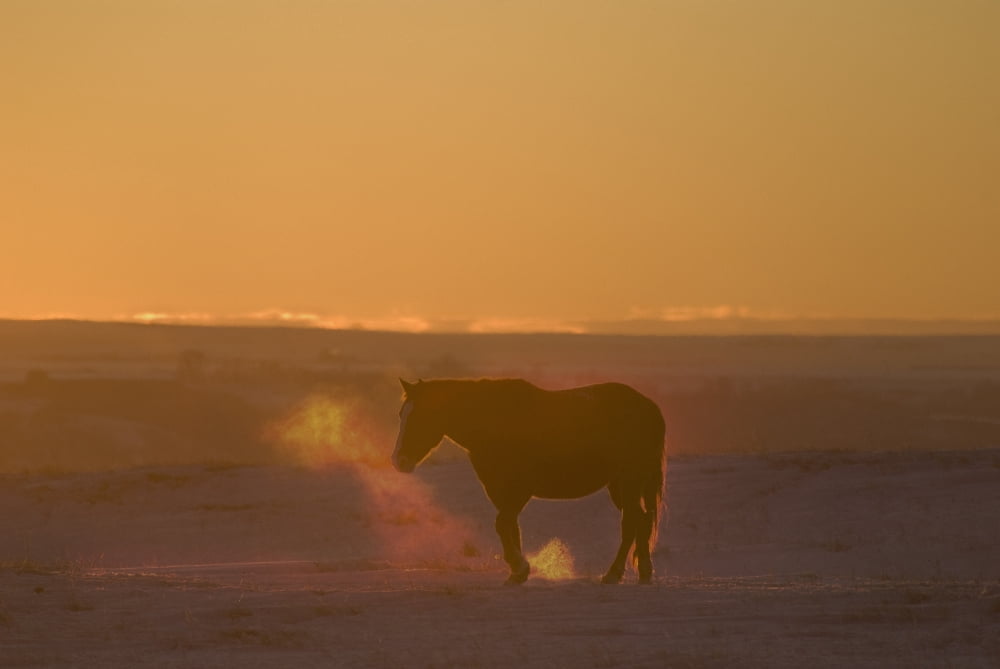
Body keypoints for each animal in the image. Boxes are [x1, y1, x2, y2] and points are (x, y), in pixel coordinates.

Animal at [392, 378, 666, 584]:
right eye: (401, 414)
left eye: (420, 416)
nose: (398, 461)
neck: (492, 421)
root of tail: (649, 408)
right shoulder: (500, 492)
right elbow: (510, 527)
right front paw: (517, 572)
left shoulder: (519, 490)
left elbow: (503, 524)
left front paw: (520, 566)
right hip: (619, 485)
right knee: (641, 520)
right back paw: (644, 572)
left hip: (630, 482)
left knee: (630, 523)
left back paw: (613, 573)